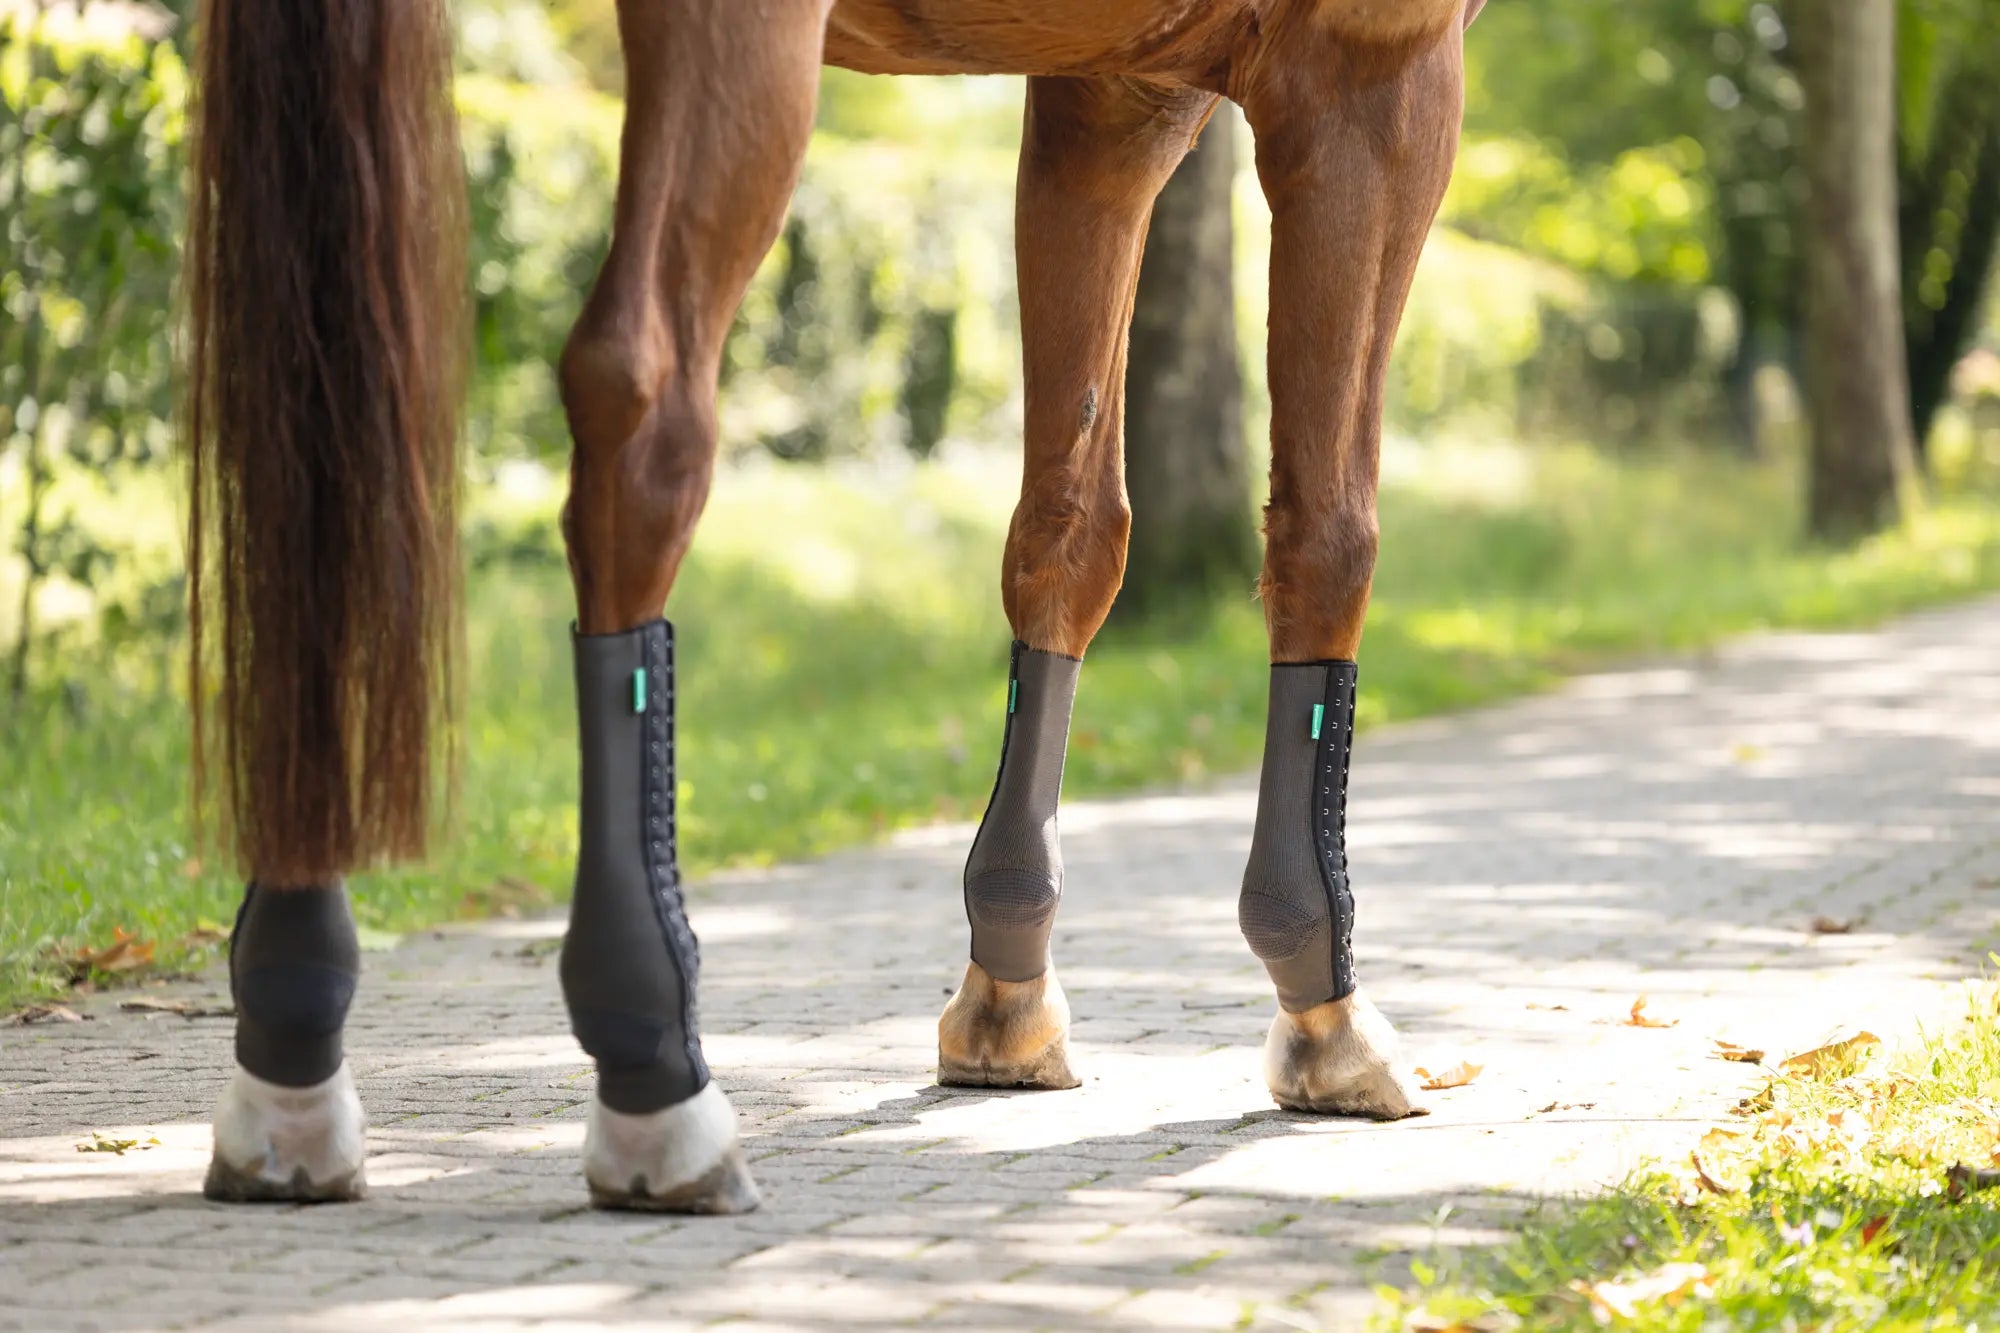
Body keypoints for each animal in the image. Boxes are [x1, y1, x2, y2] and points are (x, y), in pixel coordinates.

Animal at [182, 0, 1483, 1212]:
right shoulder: (1372, 73)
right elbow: (1326, 530)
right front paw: (1322, 1005)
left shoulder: (1111, 95)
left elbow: (1069, 531)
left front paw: (1005, 991)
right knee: (640, 406)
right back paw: (658, 1087)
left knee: (310, 427)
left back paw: (288, 1073)